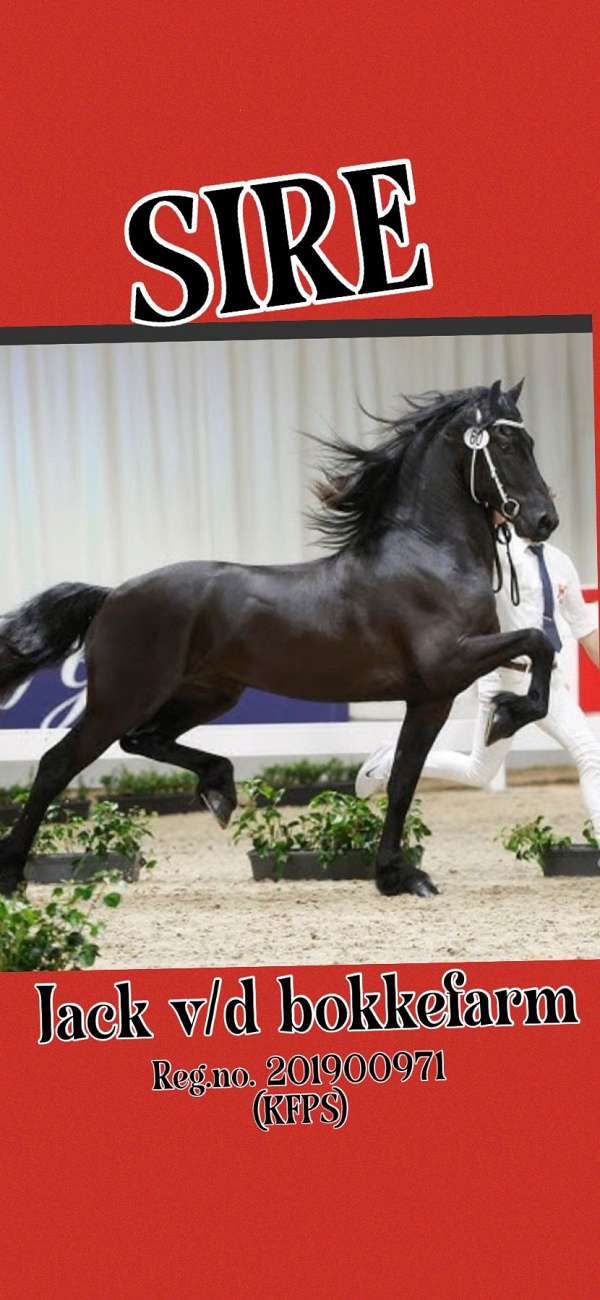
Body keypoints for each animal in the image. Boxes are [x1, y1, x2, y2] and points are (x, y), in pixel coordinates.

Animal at [0, 377, 558, 898]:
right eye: (506, 444)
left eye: (530, 441)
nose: (544, 520)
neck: (427, 557)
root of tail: (112, 594)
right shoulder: (446, 671)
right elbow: (538, 642)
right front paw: (507, 716)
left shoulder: (430, 693)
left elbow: (404, 777)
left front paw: (394, 873)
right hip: (122, 698)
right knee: (58, 764)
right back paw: (12, 873)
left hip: (208, 695)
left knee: (144, 740)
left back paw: (220, 790)